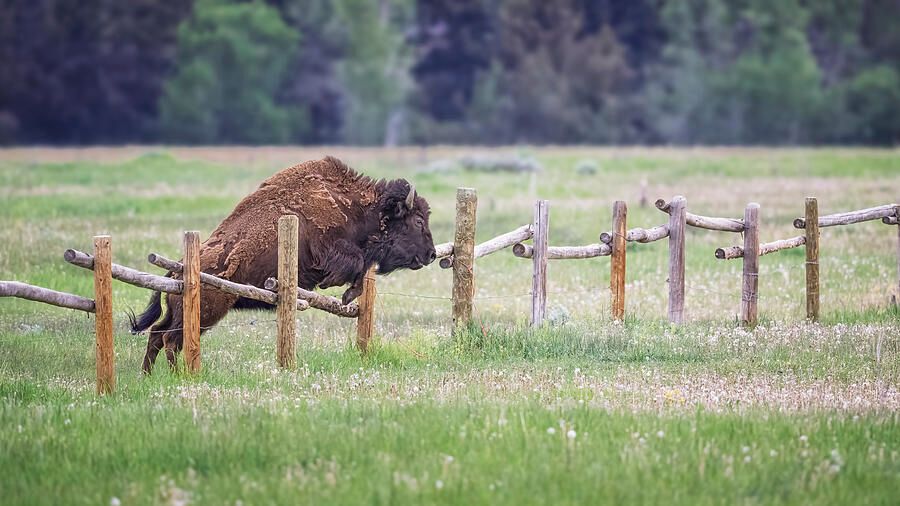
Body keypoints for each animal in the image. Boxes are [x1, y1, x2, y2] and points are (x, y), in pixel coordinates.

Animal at [130, 156, 436, 373]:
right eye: (418, 220)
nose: (432, 254)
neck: (358, 210)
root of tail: (178, 268)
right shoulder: (331, 252)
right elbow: (357, 264)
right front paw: (345, 292)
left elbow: (362, 269)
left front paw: (348, 295)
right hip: (205, 312)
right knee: (172, 339)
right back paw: (178, 375)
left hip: (180, 311)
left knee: (157, 334)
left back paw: (147, 375)